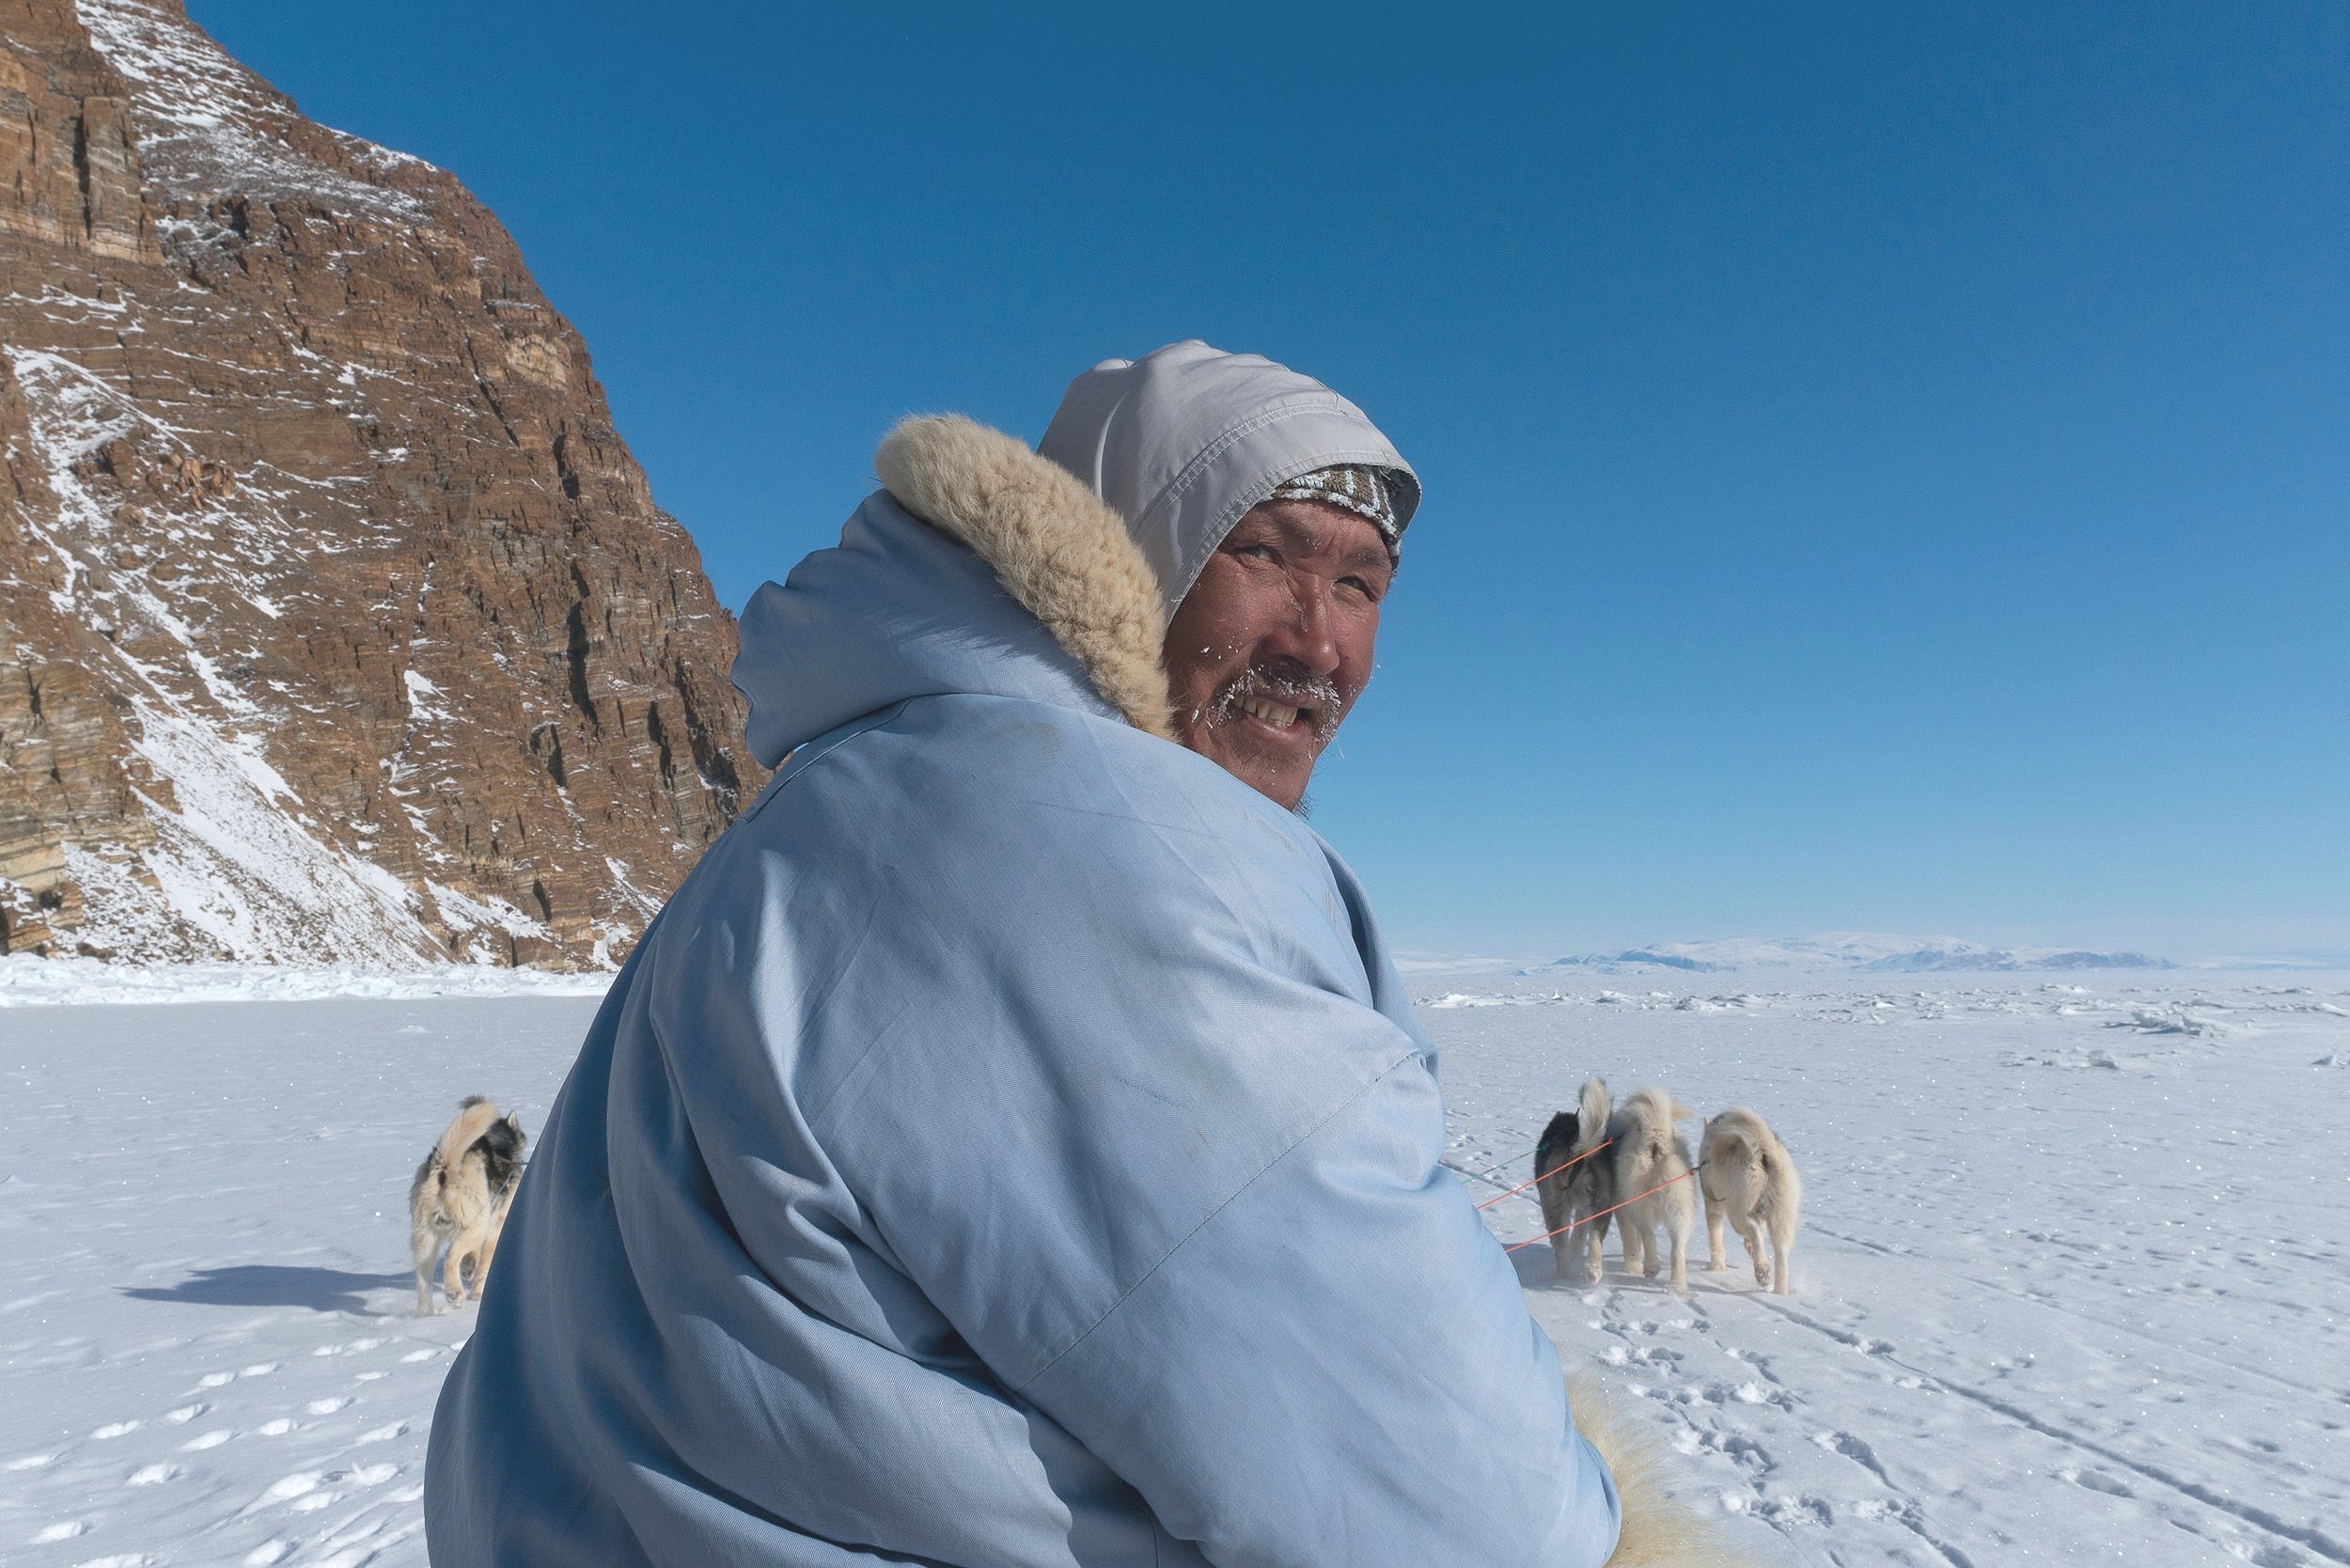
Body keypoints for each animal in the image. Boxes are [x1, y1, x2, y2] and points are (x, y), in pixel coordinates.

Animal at [409, 1100, 528, 1316]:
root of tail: (445, 1167)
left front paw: (469, 1268)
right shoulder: (494, 1229)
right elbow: (484, 1265)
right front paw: (477, 1292)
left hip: (425, 1238)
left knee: (424, 1279)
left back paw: (426, 1314)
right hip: (475, 1226)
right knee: (450, 1255)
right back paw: (454, 1292)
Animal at [1532, 1081, 1626, 1288]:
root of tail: (1581, 1151)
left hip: (1554, 1205)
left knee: (1561, 1245)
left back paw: (1565, 1273)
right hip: (1600, 1203)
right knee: (1594, 1239)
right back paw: (1592, 1272)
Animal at [1607, 1090, 1701, 1297]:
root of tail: (1655, 1136)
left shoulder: (1622, 1210)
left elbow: (1631, 1240)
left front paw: (1632, 1266)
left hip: (1637, 1203)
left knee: (1647, 1233)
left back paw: (1651, 1268)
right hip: (1679, 1204)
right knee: (1677, 1248)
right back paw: (1677, 1287)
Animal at [1701, 1109, 1805, 1297]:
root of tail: (1762, 1147)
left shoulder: (1713, 1202)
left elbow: (1715, 1237)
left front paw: (1716, 1268)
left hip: (1738, 1212)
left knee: (1755, 1233)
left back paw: (1762, 1270)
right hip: (1781, 1217)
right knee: (1780, 1252)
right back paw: (1778, 1291)